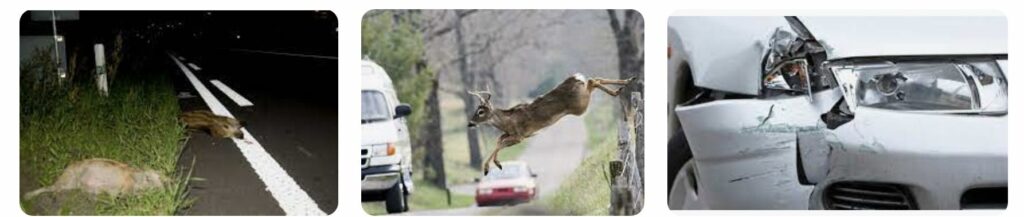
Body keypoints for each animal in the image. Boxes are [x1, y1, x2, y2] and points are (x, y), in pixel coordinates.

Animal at [466, 72, 630, 175]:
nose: (470, 123)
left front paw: (491, 167)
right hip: (582, 100)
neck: (507, 121)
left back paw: (623, 85)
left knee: (593, 80)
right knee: (594, 80)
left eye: (480, 111)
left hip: (581, 105)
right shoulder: (511, 134)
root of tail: (575, 78)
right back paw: (624, 84)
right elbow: (498, 140)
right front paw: (495, 164)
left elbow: (499, 143)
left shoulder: (520, 136)